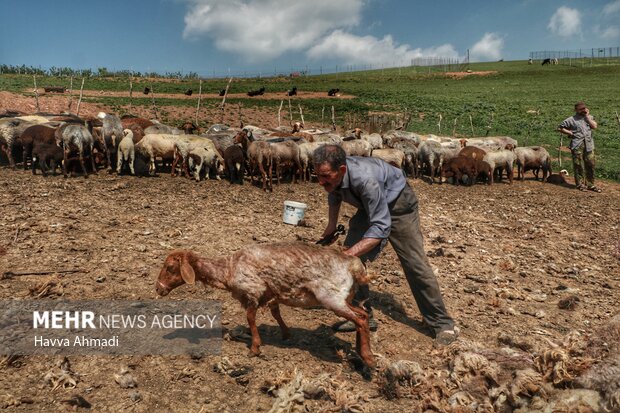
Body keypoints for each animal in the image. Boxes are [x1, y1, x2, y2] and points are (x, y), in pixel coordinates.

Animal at [157, 241, 376, 366]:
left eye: (169, 268)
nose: (158, 289)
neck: (227, 270)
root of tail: (354, 266)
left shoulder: (252, 291)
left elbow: (250, 318)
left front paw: (254, 348)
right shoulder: (271, 295)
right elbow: (275, 313)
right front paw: (286, 334)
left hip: (331, 297)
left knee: (360, 319)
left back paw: (368, 358)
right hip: (344, 298)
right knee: (362, 315)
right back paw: (361, 351)